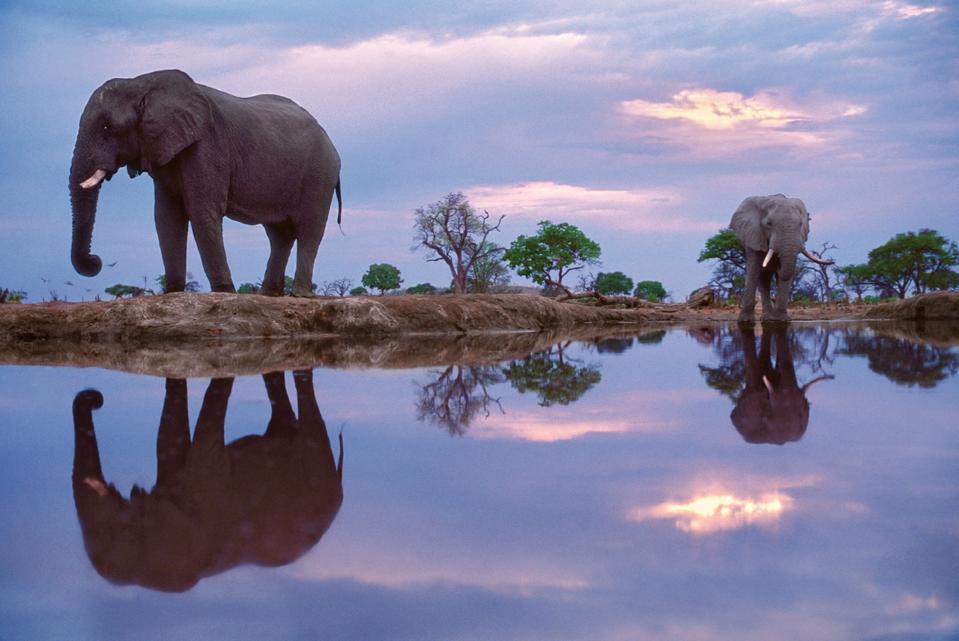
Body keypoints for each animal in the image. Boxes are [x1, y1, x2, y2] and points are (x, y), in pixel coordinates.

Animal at [70, 69, 341, 296]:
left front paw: (225, 292)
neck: (142, 83)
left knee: (309, 229)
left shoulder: (208, 144)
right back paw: (269, 295)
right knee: (279, 234)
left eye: (107, 127)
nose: (96, 262)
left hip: (320, 172)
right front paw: (173, 292)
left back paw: (299, 294)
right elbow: (167, 217)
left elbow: (202, 211)